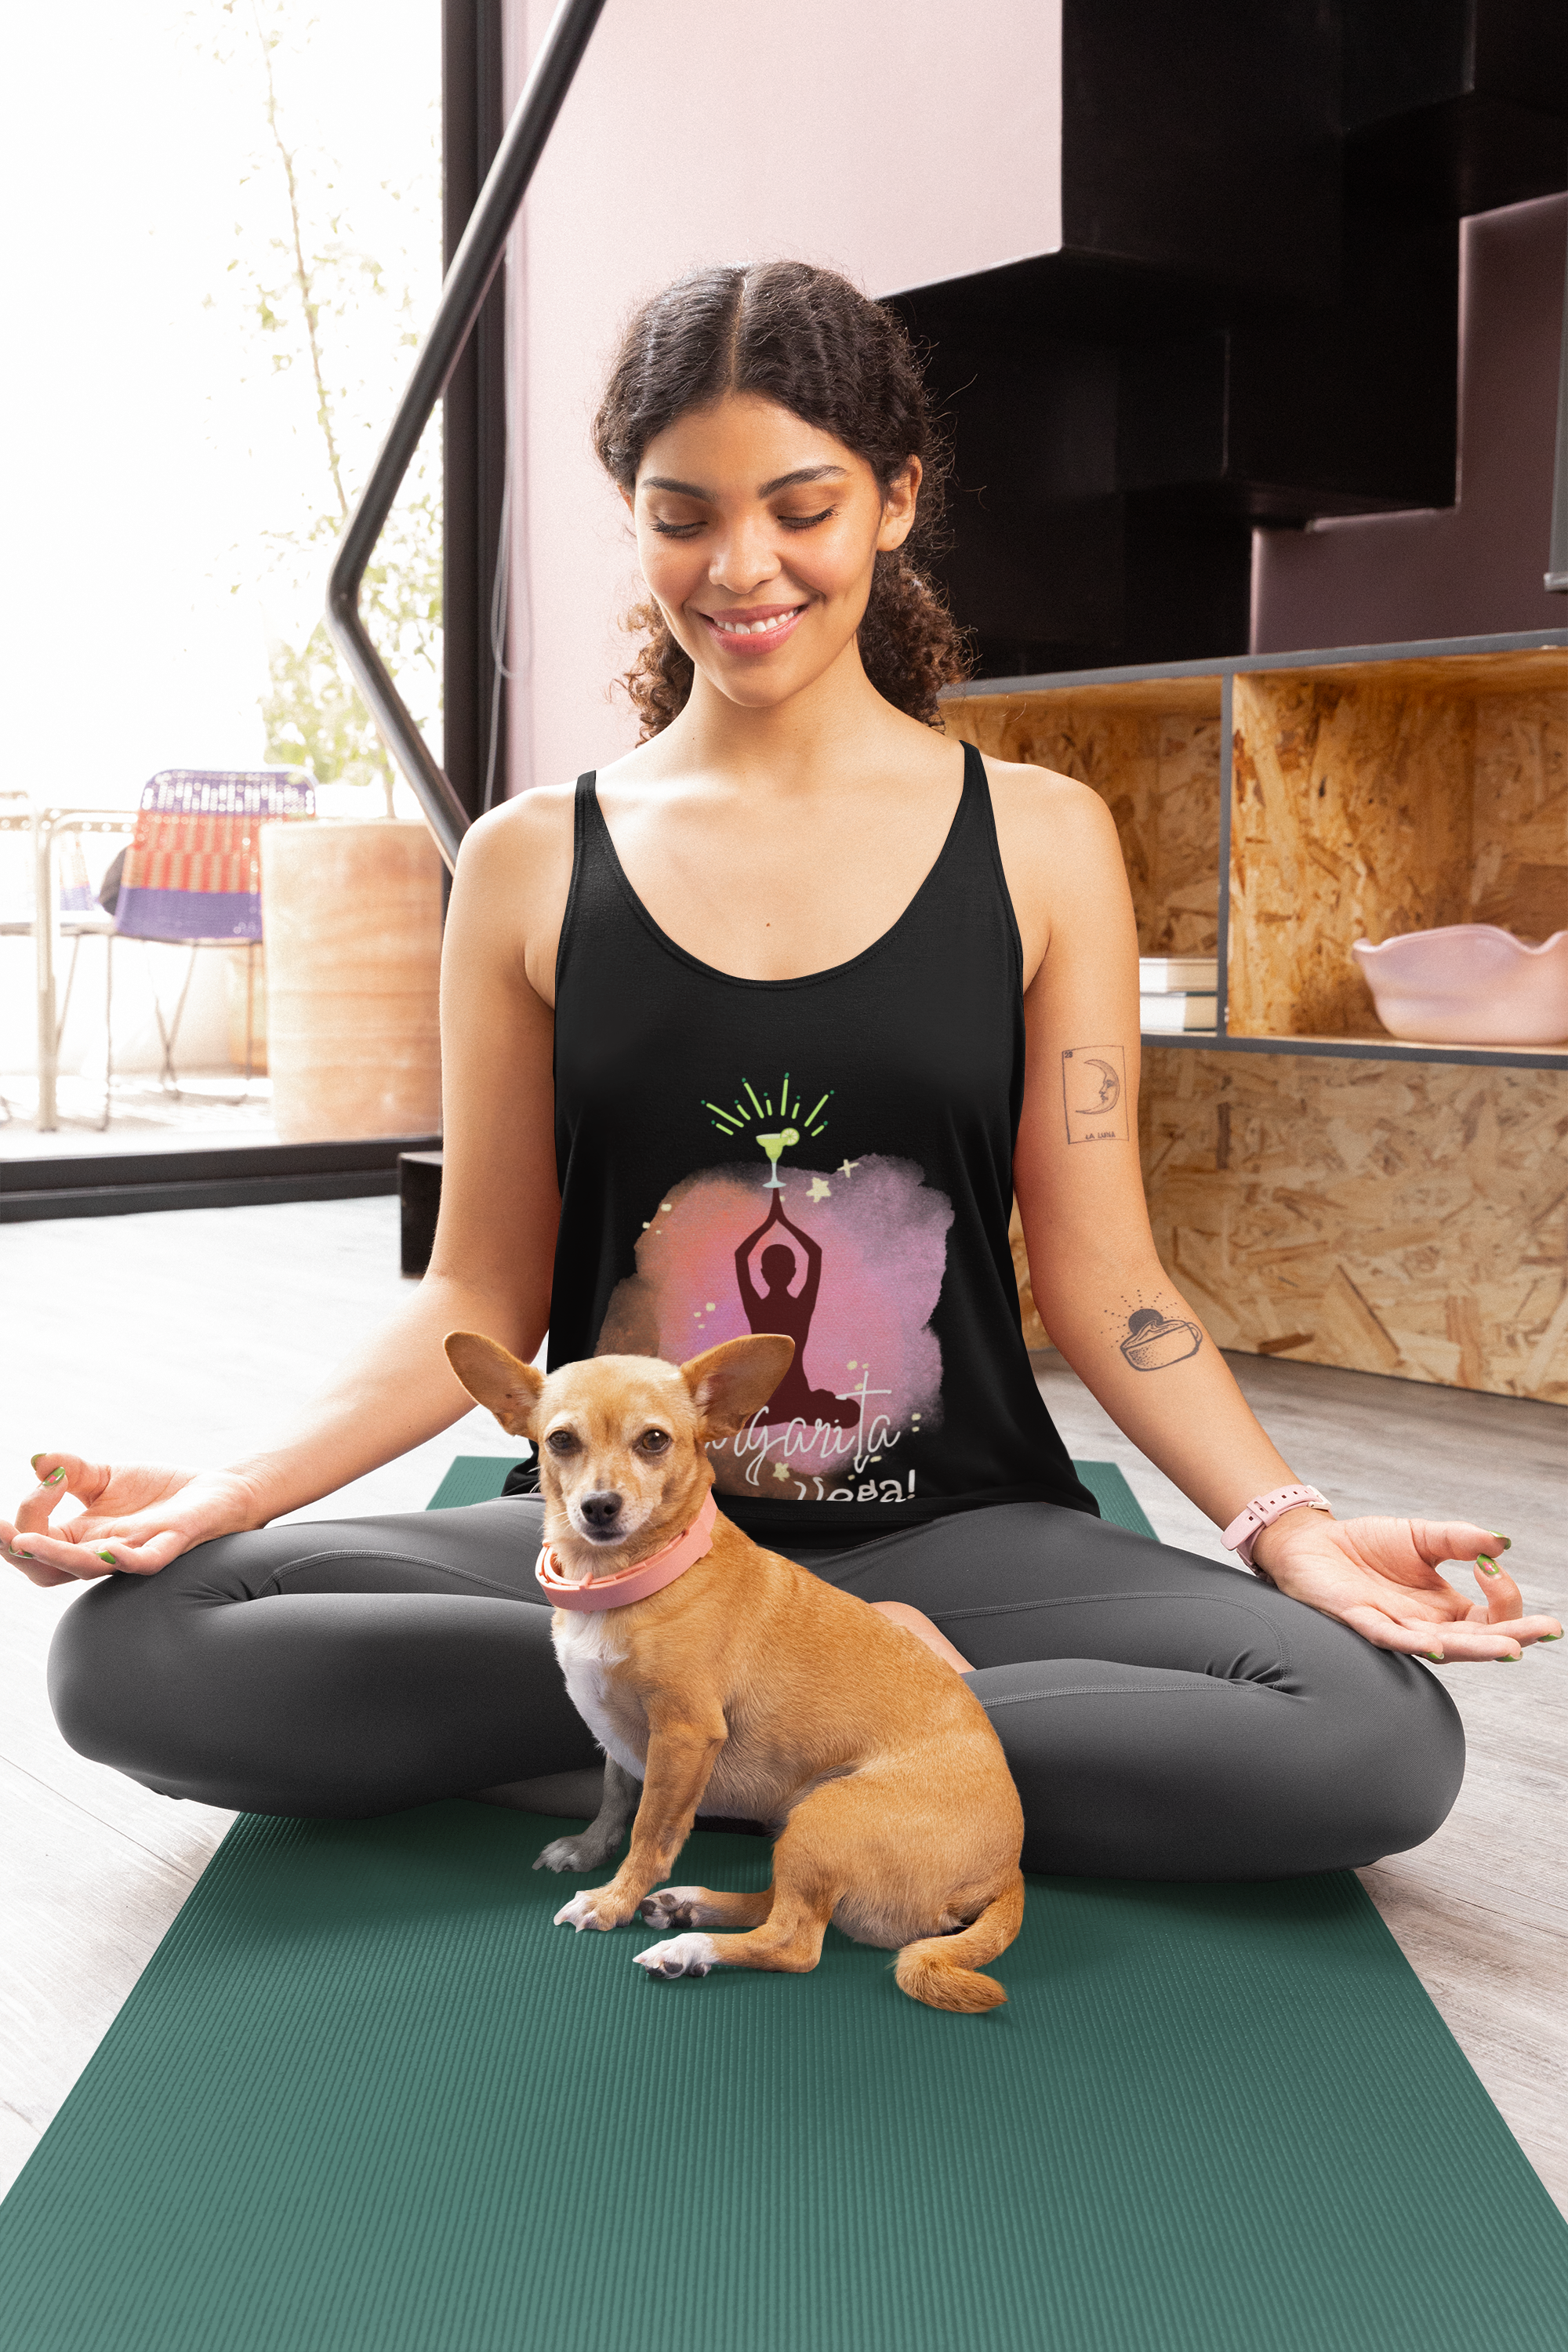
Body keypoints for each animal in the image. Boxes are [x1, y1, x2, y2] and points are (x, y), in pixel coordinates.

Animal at [444, 1336, 1029, 2013]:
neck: (624, 1579)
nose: (598, 1507)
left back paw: (690, 1947)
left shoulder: (683, 1736)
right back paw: (689, 1907)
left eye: (654, 1441)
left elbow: (650, 1830)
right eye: (561, 1441)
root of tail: (1008, 1872)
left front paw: (612, 1901)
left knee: (795, 1941)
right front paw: (590, 1850)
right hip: (799, 1829)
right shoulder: (621, 1738)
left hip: (824, 1820)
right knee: (781, 1904)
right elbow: (615, 1797)